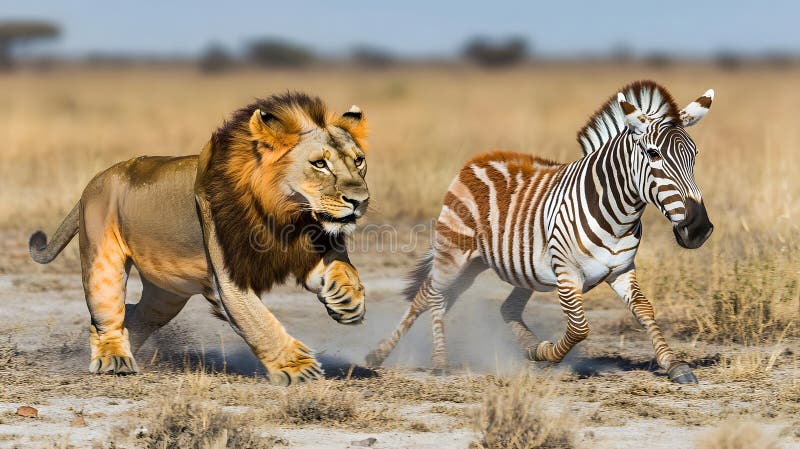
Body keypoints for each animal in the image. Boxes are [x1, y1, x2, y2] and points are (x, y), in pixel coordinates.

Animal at [29, 92, 370, 385]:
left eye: (359, 161)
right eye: (319, 163)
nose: (360, 200)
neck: (289, 217)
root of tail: (94, 183)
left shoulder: (310, 248)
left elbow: (343, 267)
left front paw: (347, 300)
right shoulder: (229, 278)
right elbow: (259, 322)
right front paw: (298, 368)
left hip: (166, 292)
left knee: (137, 315)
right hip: (103, 260)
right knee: (107, 315)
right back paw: (114, 360)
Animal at [366, 80, 714, 384]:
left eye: (695, 155)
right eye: (654, 154)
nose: (698, 229)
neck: (618, 216)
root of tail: (478, 159)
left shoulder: (621, 269)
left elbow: (644, 309)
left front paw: (674, 365)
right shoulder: (566, 271)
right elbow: (579, 328)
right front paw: (548, 353)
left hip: (490, 263)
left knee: (473, 301)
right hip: (455, 251)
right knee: (433, 296)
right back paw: (430, 360)